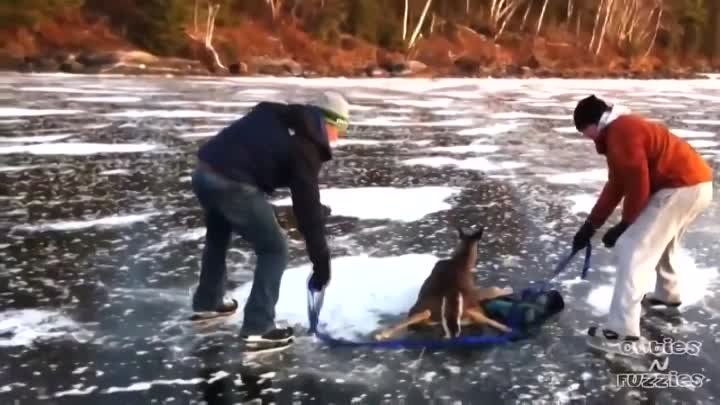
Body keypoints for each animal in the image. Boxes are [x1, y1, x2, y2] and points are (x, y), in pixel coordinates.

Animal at [374, 226, 516, 340]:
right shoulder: (474, 292)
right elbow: (493, 289)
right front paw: (509, 288)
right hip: (468, 307)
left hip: (430, 312)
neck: (461, 261)